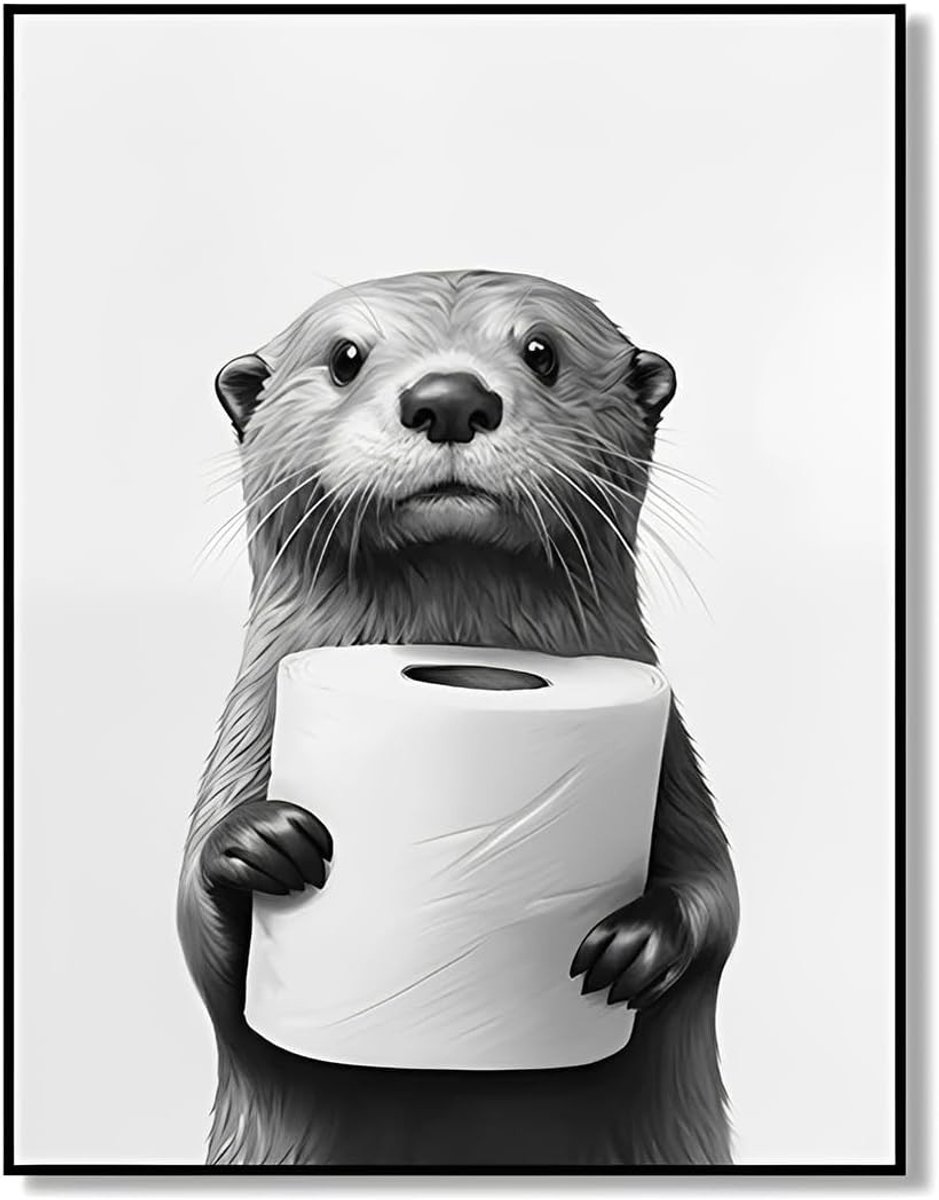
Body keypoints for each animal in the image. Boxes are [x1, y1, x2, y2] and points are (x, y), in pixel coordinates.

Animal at [178, 270, 739, 1167]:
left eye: (542, 351)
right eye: (344, 356)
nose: (448, 397)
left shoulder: (674, 766)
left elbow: (717, 897)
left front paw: (637, 943)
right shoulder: (244, 738)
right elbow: (200, 942)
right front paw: (257, 843)